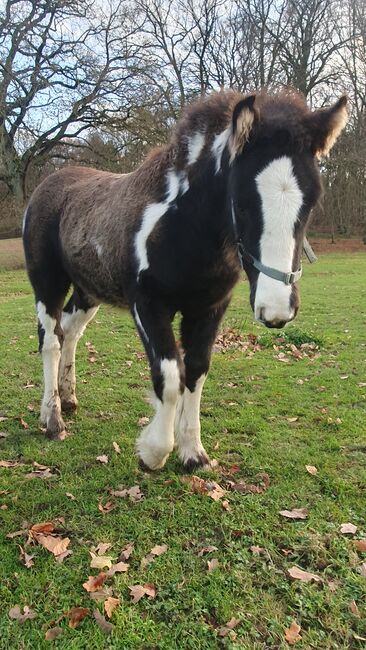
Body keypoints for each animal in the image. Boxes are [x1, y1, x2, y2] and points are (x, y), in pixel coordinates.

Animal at [21, 88, 348, 468]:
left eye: (311, 202)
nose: (277, 309)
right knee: (51, 340)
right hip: (48, 284)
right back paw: (52, 419)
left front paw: (193, 452)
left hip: (90, 290)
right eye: (242, 203)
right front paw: (154, 452)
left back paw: (69, 399)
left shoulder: (210, 308)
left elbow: (196, 369)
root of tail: (47, 186)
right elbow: (169, 374)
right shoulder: (147, 305)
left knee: (70, 332)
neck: (184, 228)